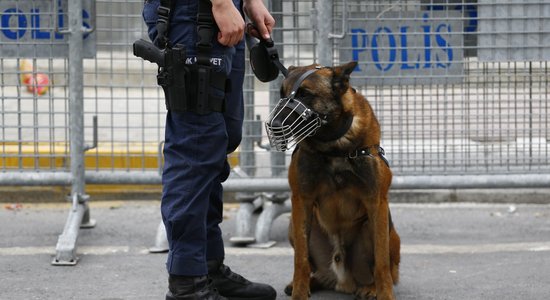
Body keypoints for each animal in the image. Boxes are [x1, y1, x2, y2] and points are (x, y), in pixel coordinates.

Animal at [268, 62, 402, 298]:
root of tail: (343, 282)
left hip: (383, 229)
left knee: (387, 267)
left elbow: (381, 263)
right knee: (312, 268)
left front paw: (384, 294)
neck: (333, 147)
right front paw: (299, 293)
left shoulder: (376, 202)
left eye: (305, 94)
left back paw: (371, 288)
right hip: (295, 224)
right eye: (282, 95)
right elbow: (300, 260)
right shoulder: (301, 201)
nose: (274, 125)